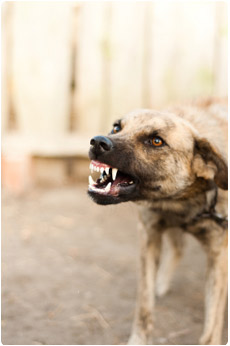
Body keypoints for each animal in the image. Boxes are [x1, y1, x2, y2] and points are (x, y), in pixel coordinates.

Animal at [87, 98, 227, 346]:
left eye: (156, 141)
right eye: (116, 127)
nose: (97, 141)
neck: (181, 201)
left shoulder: (219, 255)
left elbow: (212, 325)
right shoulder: (149, 234)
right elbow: (144, 303)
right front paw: (139, 340)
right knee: (179, 247)